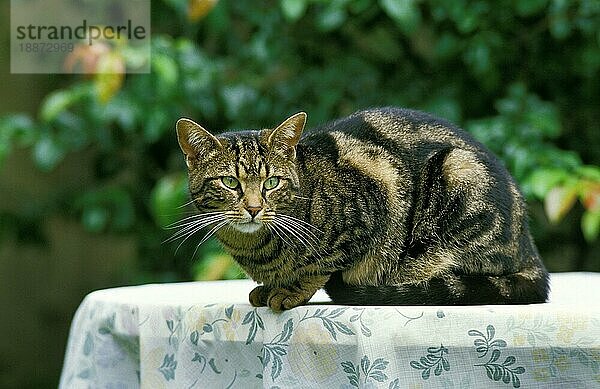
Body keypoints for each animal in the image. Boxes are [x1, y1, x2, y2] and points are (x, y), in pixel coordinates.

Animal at [173, 107, 548, 310]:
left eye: (271, 183)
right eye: (230, 182)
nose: (253, 208)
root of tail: (530, 251)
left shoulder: (371, 206)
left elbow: (321, 266)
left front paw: (292, 291)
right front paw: (269, 288)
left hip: (458, 176)